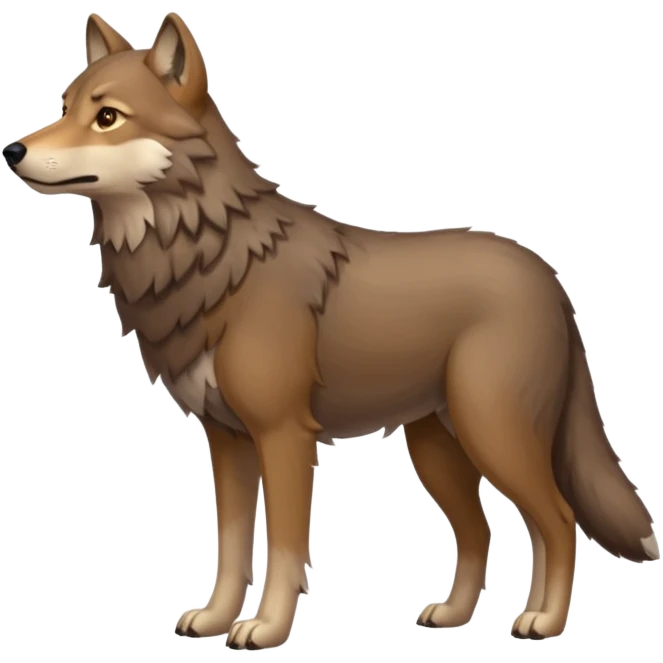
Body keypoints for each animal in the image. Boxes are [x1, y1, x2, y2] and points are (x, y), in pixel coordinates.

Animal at [3, 10, 658, 649]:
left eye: (106, 117)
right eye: (65, 106)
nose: (12, 150)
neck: (211, 260)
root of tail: (550, 279)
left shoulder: (283, 436)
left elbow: (286, 547)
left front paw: (265, 629)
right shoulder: (227, 439)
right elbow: (231, 547)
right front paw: (214, 619)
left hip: (493, 434)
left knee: (558, 521)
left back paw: (543, 622)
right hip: (439, 451)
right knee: (486, 532)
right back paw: (457, 615)